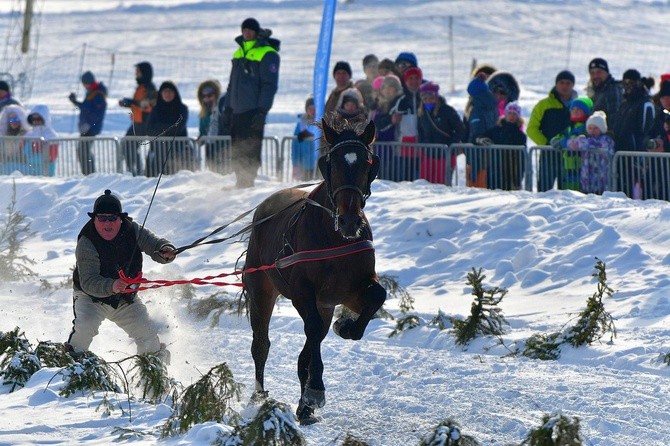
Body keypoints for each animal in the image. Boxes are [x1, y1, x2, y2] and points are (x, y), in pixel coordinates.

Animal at [244, 116, 386, 424]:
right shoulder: (303, 292)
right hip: (260, 288)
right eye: (332, 163)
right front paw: (316, 389)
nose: (349, 220)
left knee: (312, 341)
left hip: (324, 303)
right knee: (261, 344)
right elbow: (310, 328)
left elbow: (376, 297)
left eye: (367, 164)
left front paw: (346, 326)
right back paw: (259, 396)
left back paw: (303, 406)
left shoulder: (346, 291)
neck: (334, 237)